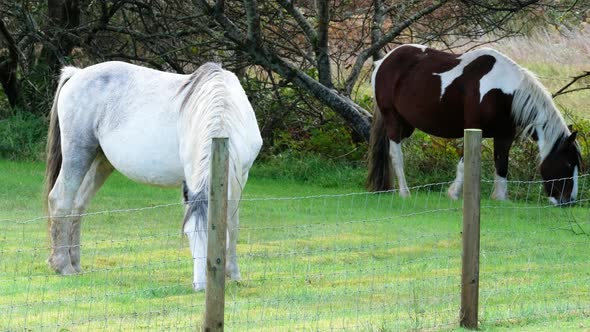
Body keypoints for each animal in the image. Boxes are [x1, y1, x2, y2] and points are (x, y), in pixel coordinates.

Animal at [47, 61, 264, 290]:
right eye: (188, 234)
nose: (200, 286)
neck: (224, 111)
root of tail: (77, 74)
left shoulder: (240, 177)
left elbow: (232, 224)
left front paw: (233, 273)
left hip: (99, 161)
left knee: (77, 205)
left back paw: (75, 263)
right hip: (78, 154)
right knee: (60, 200)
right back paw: (63, 266)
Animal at [370, 44, 584, 205]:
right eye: (568, 163)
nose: (569, 201)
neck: (501, 91)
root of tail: (383, 61)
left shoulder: (504, 136)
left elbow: (502, 165)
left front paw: (500, 199)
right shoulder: (473, 128)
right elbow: (464, 166)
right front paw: (453, 194)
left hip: (407, 125)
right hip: (393, 120)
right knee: (396, 155)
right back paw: (404, 192)